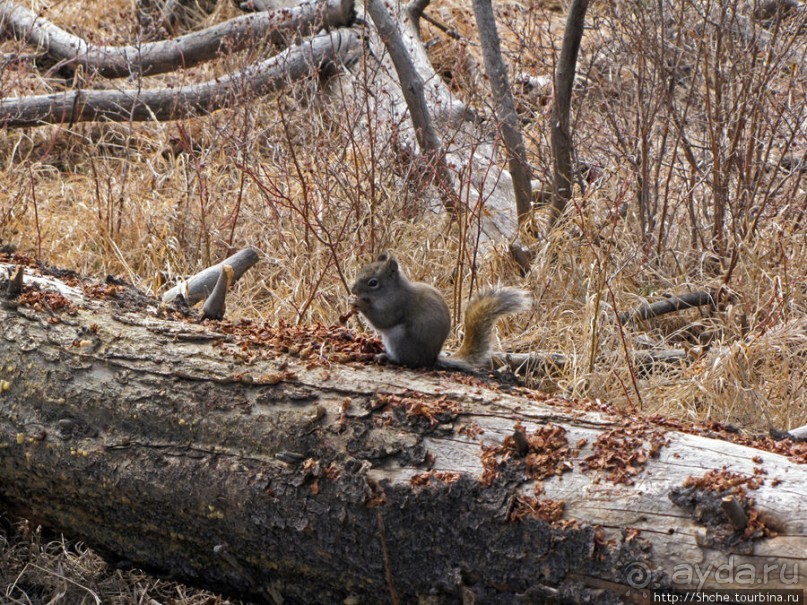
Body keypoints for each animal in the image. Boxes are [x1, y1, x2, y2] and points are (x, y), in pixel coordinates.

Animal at [348, 250, 532, 368]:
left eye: (373, 283)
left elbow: (383, 320)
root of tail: (430, 359)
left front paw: (360, 304)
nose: (353, 290)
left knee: (405, 360)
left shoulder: (398, 305)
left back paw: (387, 357)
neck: (392, 290)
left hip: (399, 340)